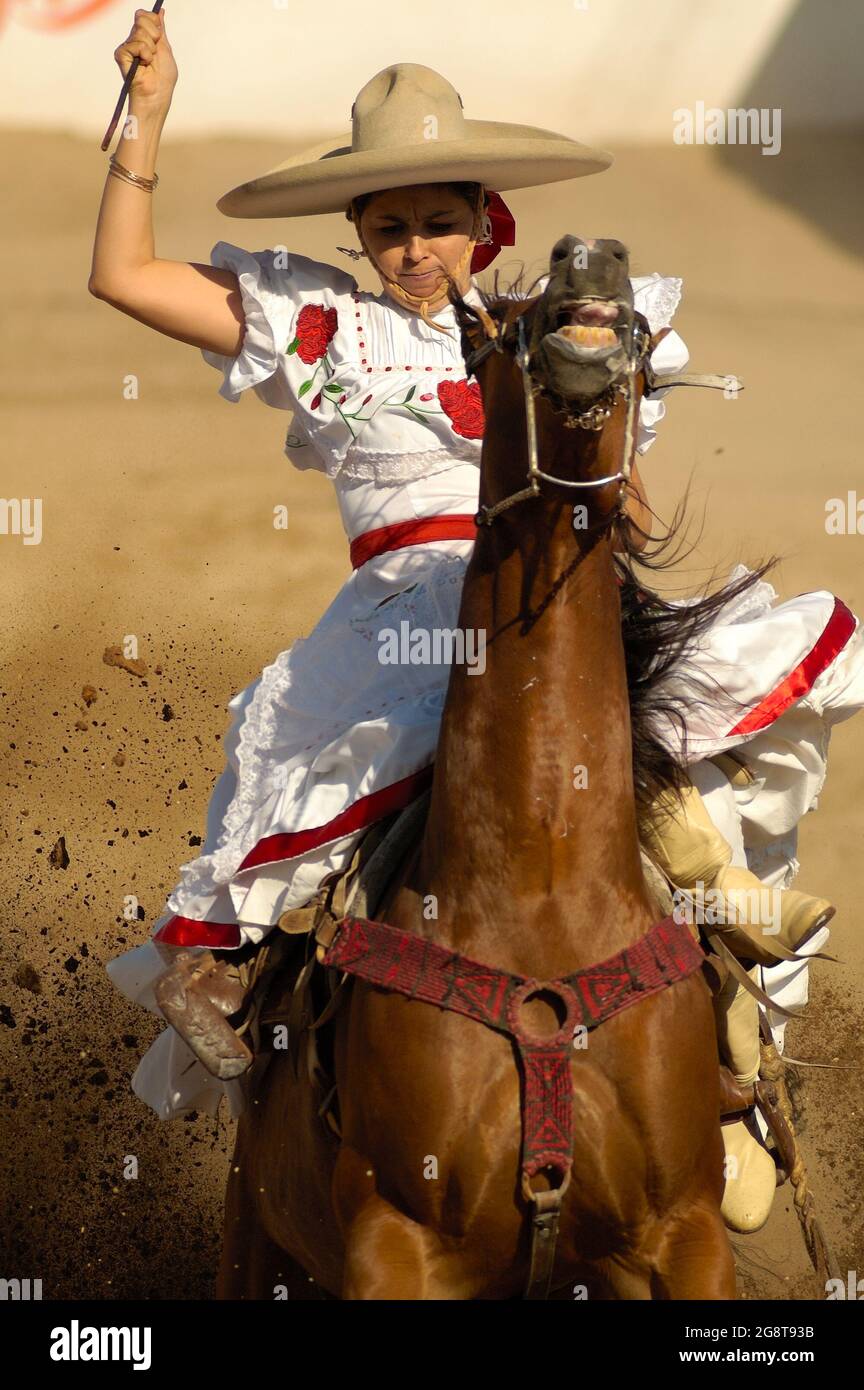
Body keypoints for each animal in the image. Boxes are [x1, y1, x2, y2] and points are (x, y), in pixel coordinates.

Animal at [218, 239, 750, 1301]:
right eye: (491, 325)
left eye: (641, 329)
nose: (592, 262)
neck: (541, 893)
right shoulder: (397, 1242)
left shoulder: (684, 1232)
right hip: (254, 1240)